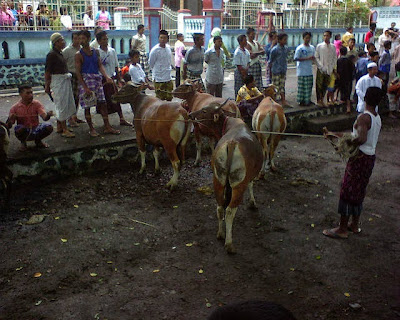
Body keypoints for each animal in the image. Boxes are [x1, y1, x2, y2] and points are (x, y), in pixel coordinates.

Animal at [189, 101, 264, 254]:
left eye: (204, 111)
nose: (191, 114)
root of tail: (232, 143)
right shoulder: (249, 177)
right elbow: (251, 185)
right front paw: (252, 203)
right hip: (238, 184)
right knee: (229, 211)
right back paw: (229, 244)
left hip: (218, 179)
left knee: (219, 207)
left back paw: (220, 234)